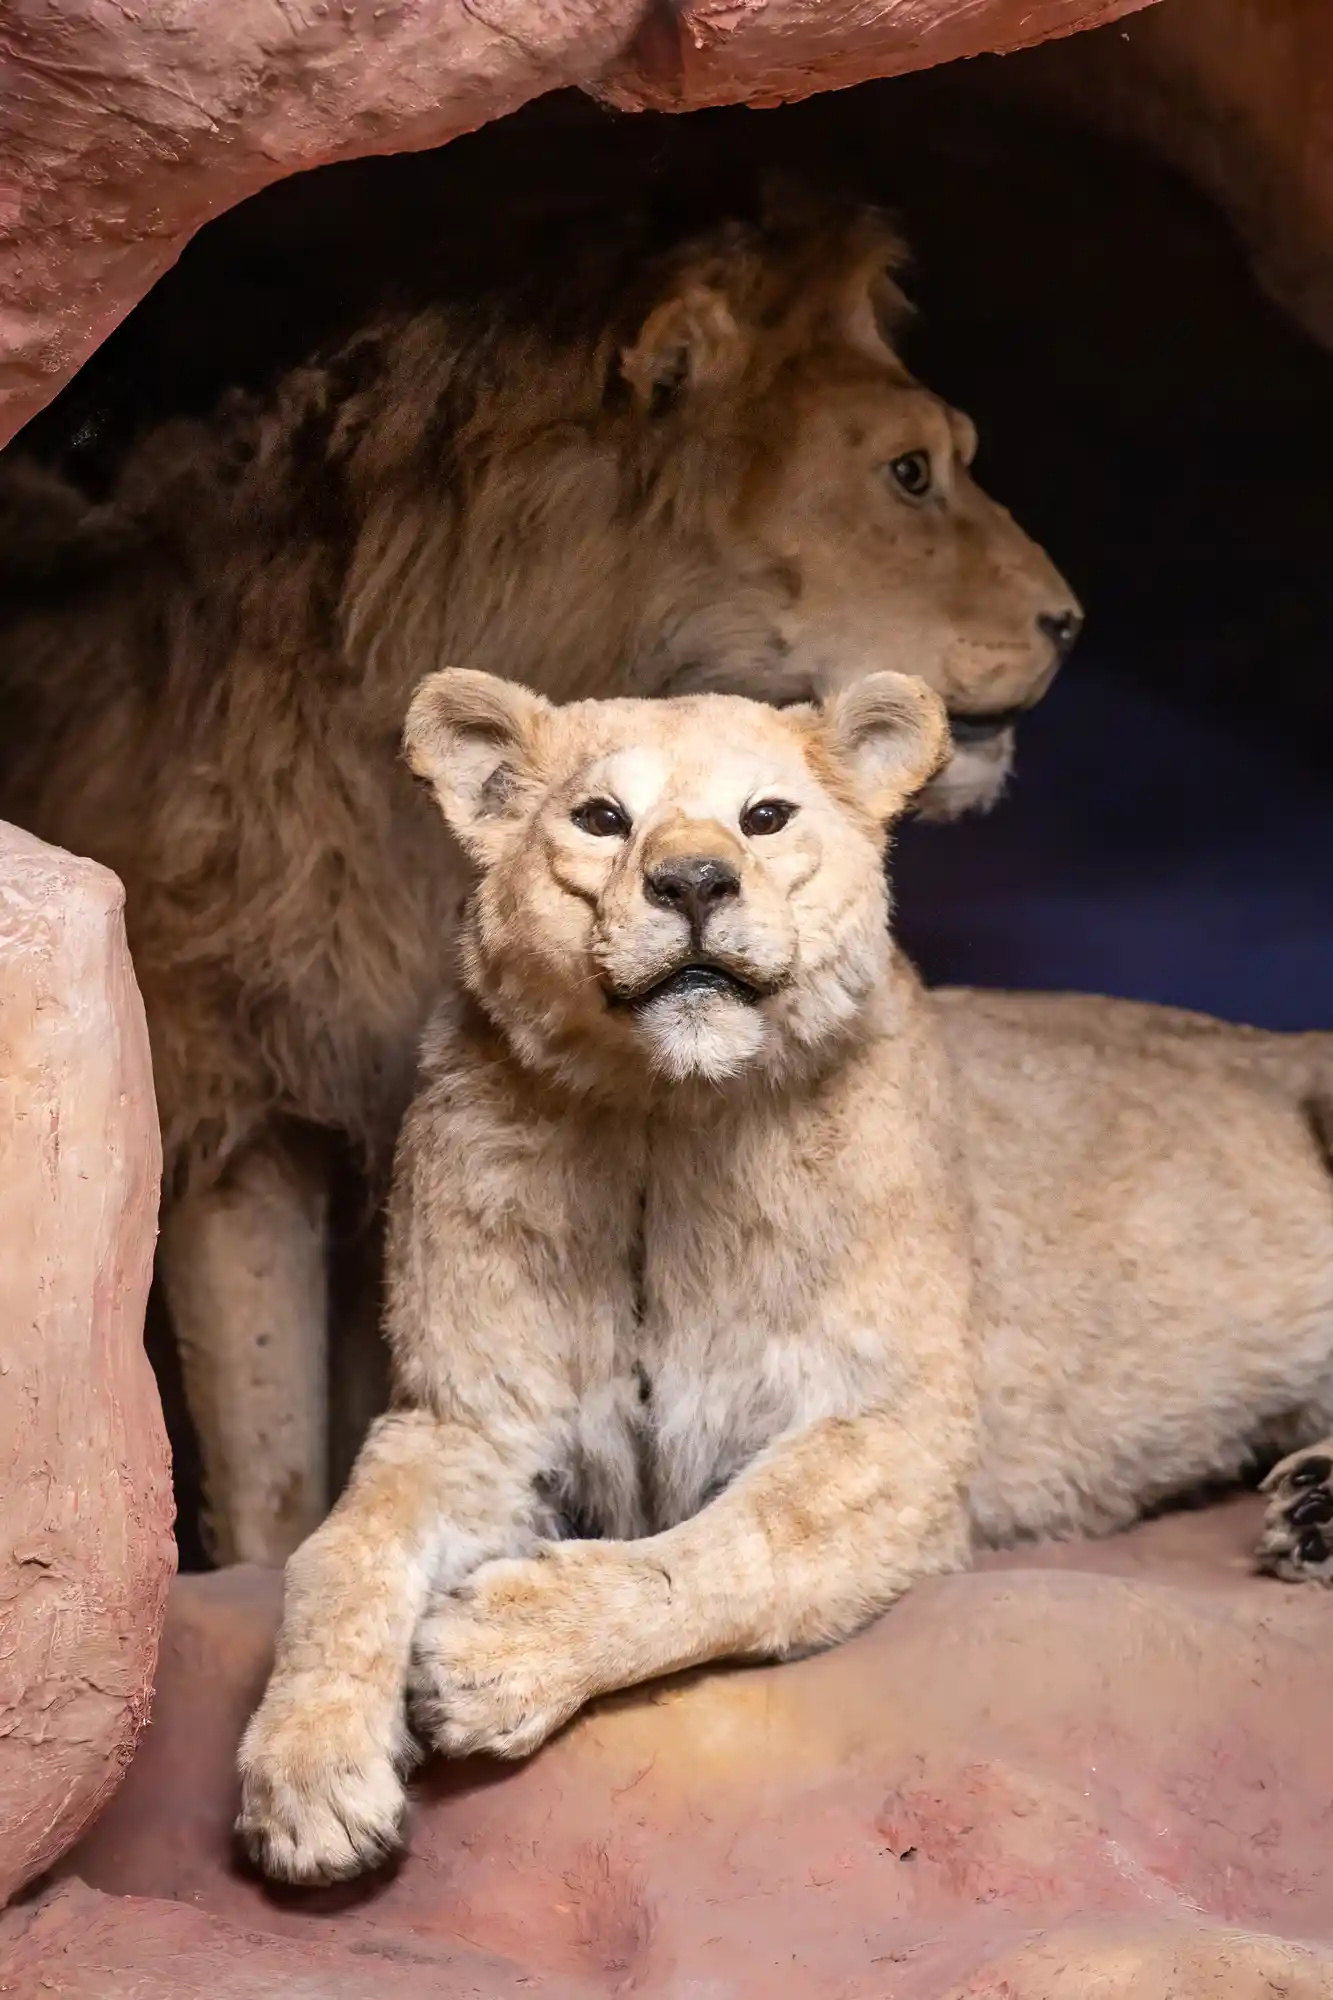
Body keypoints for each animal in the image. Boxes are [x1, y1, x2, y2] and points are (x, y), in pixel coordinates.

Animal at [235, 668, 1333, 1885]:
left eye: (765, 817)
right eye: (600, 818)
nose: (692, 880)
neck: (664, 1124)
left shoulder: (903, 1433)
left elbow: (738, 1546)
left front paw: (500, 1645)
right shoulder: (467, 1417)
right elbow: (344, 1551)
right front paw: (307, 1779)